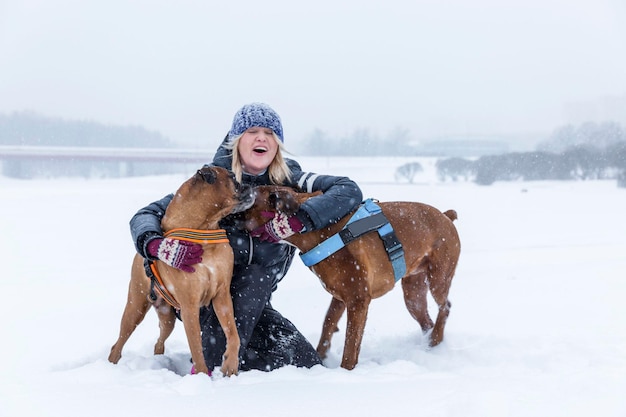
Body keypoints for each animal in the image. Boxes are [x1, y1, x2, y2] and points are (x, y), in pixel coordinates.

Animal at [243, 187, 458, 368]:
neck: (316, 231)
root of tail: (446, 216)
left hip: (438, 279)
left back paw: (436, 339)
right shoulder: (340, 297)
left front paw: (345, 370)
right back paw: (429, 345)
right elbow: (328, 321)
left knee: (445, 307)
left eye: (250, 200)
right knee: (427, 320)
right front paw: (322, 357)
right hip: (414, 294)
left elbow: (351, 342)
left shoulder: (358, 300)